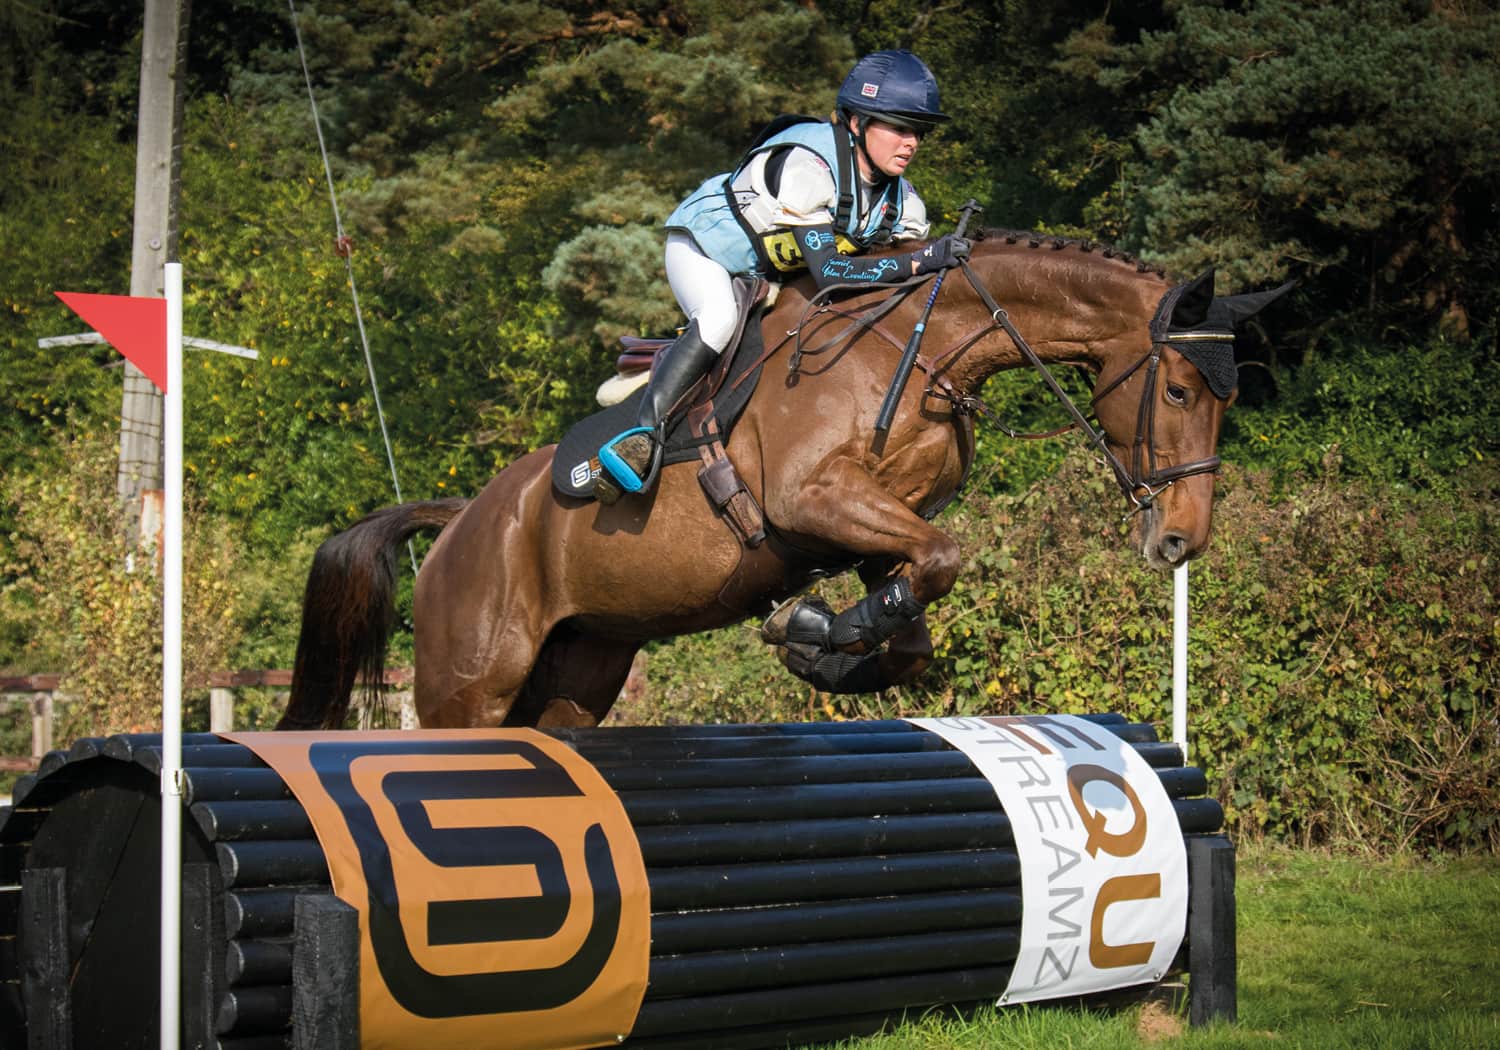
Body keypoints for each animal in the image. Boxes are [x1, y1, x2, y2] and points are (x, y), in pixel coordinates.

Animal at [278, 229, 1287, 731]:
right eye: (1183, 389)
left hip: (581, 669)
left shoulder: (877, 524)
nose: (1181, 539)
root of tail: (460, 522)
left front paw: (822, 644)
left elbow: (918, 603)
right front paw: (808, 630)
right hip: (470, 680)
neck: (919, 345)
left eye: (1229, 400)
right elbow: (943, 558)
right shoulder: (814, 499)